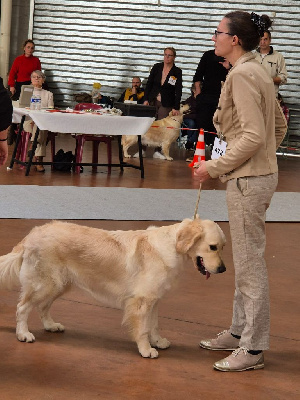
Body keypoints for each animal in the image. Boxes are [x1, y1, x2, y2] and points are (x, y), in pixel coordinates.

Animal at [0, 217, 225, 358]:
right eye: (212, 247)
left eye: (222, 247)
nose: (222, 269)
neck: (171, 247)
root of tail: (31, 235)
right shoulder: (142, 300)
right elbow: (143, 328)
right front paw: (146, 350)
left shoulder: (154, 299)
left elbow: (154, 325)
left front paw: (158, 341)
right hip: (45, 283)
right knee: (22, 307)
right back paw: (23, 334)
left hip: (58, 285)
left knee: (42, 307)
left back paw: (51, 325)